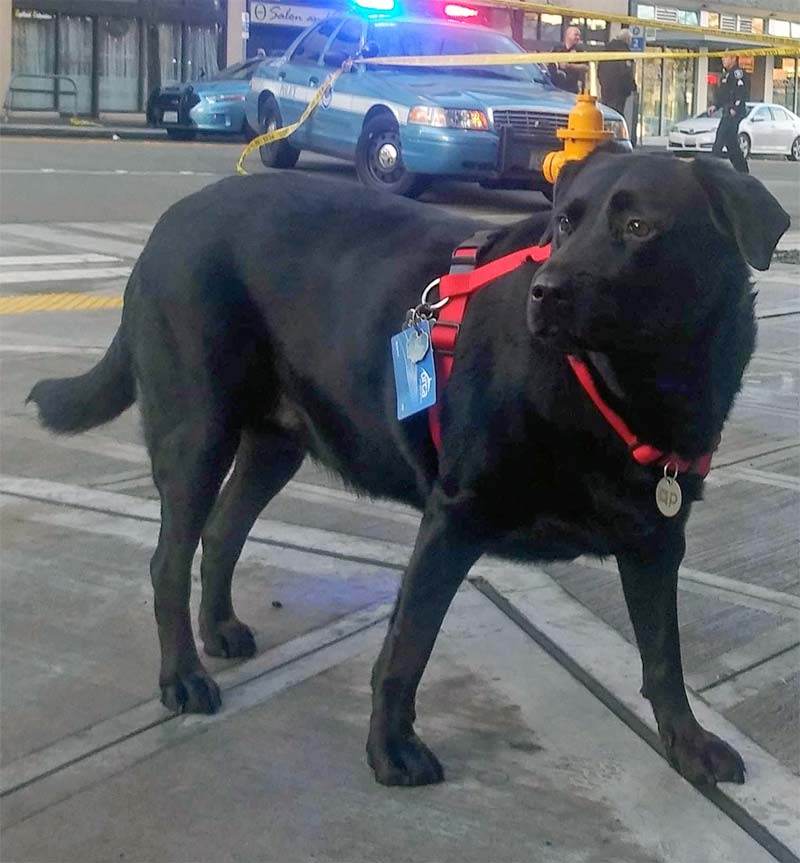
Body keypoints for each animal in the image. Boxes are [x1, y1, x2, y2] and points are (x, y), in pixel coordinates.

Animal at [29, 150, 788, 788]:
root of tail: (166, 223)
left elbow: (665, 657)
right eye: (564, 223)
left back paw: (219, 630)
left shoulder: (658, 537)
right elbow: (407, 647)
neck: (624, 387)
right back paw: (182, 677)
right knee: (168, 560)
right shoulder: (454, 517)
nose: (545, 291)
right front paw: (390, 750)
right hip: (197, 432)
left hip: (276, 443)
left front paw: (687, 745)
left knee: (221, 533)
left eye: (638, 226)